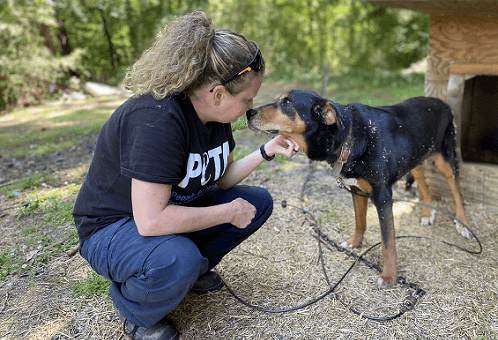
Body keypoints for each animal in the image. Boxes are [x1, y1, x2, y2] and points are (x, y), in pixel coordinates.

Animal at [248, 89, 470, 286]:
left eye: (286, 102)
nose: (248, 112)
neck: (349, 137)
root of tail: (442, 102)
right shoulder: (357, 192)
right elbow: (359, 222)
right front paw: (354, 244)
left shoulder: (382, 197)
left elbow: (388, 242)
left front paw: (389, 277)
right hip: (415, 160)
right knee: (426, 189)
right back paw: (426, 214)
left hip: (446, 161)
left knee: (457, 193)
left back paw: (463, 225)